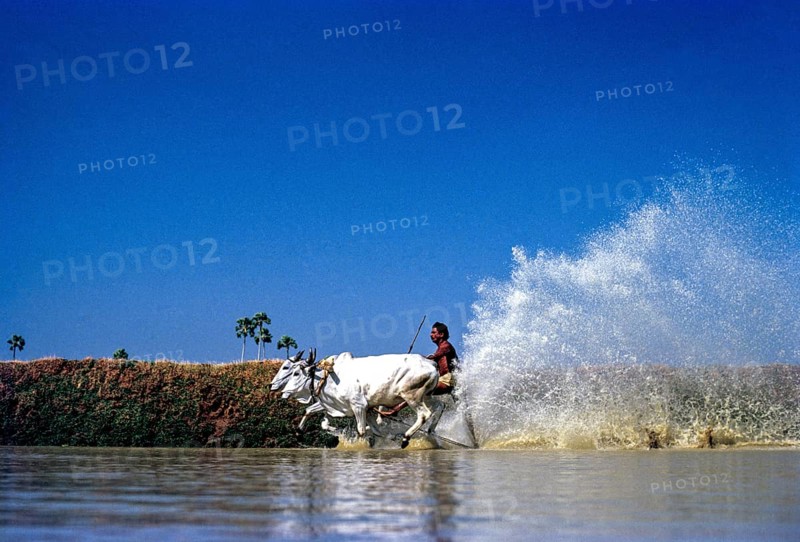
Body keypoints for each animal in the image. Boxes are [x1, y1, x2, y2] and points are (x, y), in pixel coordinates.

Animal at [270, 350, 440, 449]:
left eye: (294, 372)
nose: (273, 386)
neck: (327, 378)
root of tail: (431, 363)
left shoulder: (359, 405)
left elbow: (361, 430)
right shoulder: (366, 409)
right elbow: (377, 432)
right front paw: (299, 433)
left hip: (412, 396)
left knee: (424, 414)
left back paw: (406, 438)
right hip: (427, 395)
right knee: (439, 406)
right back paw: (431, 433)